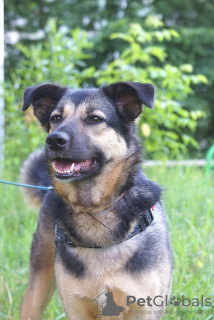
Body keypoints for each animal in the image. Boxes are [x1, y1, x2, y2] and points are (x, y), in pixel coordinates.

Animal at [20, 81, 173, 318]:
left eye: (94, 119)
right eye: (55, 118)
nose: (53, 140)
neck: (95, 210)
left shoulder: (145, 308)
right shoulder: (76, 307)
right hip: (38, 283)